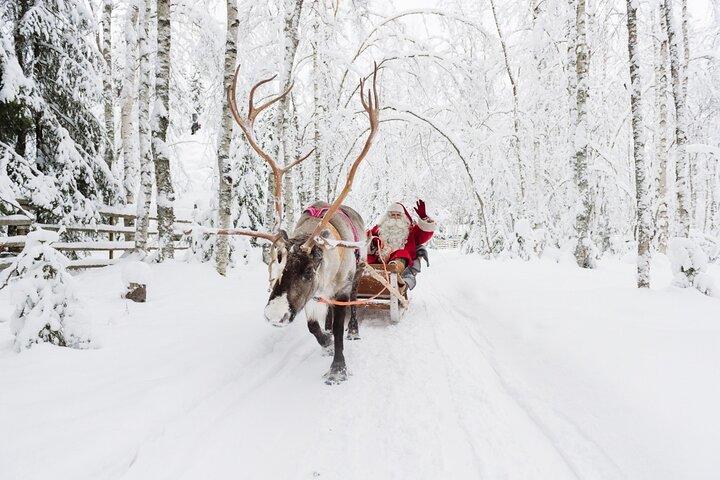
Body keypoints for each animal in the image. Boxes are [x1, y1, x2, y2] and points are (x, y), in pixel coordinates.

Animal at [221, 63, 380, 384]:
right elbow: (313, 327)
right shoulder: (312, 297)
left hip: (359, 270)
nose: (274, 316)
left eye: (307, 271)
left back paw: (354, 329)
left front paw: (338, 368)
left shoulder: (338, 287)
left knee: (354, 304)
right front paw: (326, 340)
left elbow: (341, 325)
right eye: (276, 265)